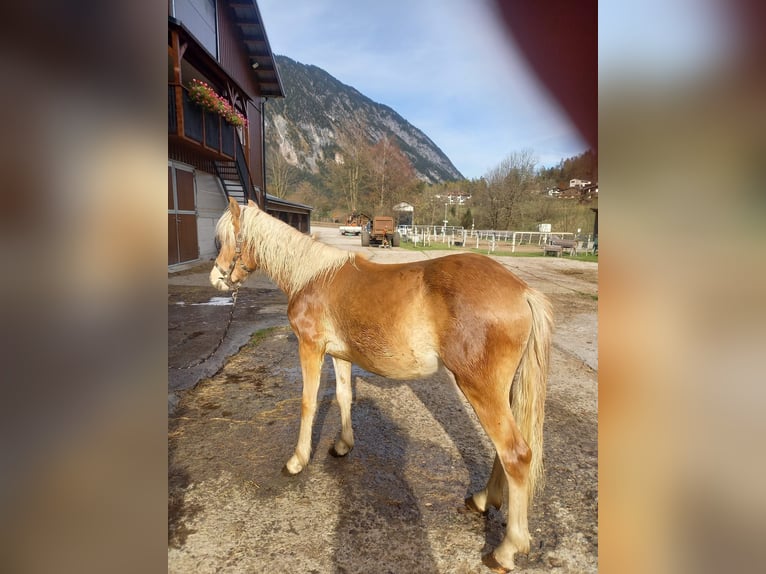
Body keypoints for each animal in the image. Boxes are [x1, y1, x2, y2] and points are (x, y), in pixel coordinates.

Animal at [210, 199, 556, 574]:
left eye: (226, 239)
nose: (217, 278)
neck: (311, 275)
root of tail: (523, 292)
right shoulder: (339, 354)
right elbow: (344, 396)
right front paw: (343, 445)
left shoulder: (310, 348)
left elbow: (308, 403)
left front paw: (297, 460)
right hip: (498, 392)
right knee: (502, 450)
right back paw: (482, 499)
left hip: (480, 389)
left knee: (515, 454)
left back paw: (507, 549)